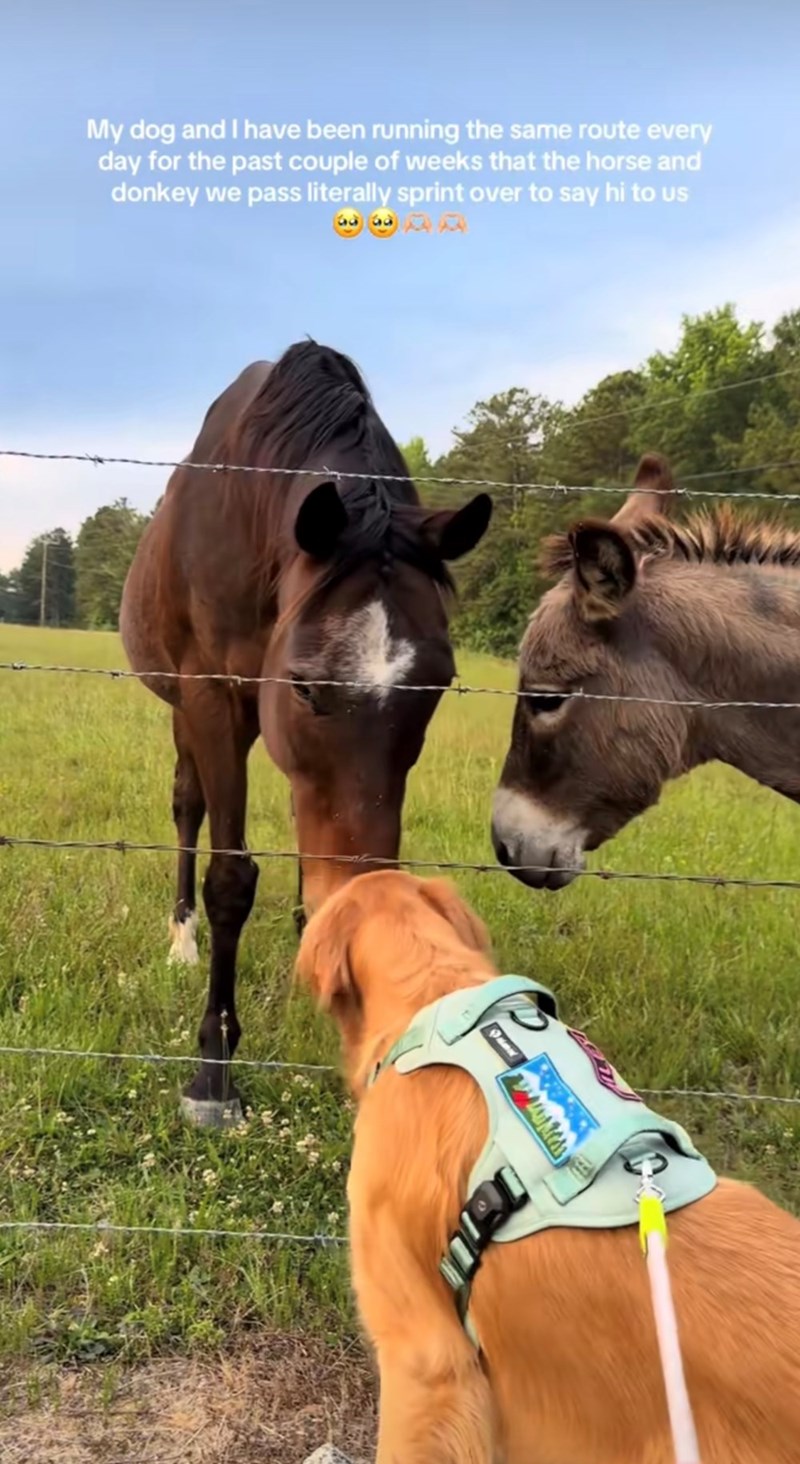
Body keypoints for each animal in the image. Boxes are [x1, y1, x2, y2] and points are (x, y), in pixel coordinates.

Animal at [120, 340, 491, 1124]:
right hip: (185, 712)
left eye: (438, 683)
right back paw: (182, 938)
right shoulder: (211, 698)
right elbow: (230, 878)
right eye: (304, 683)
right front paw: (213, 1071)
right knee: (188, 808)